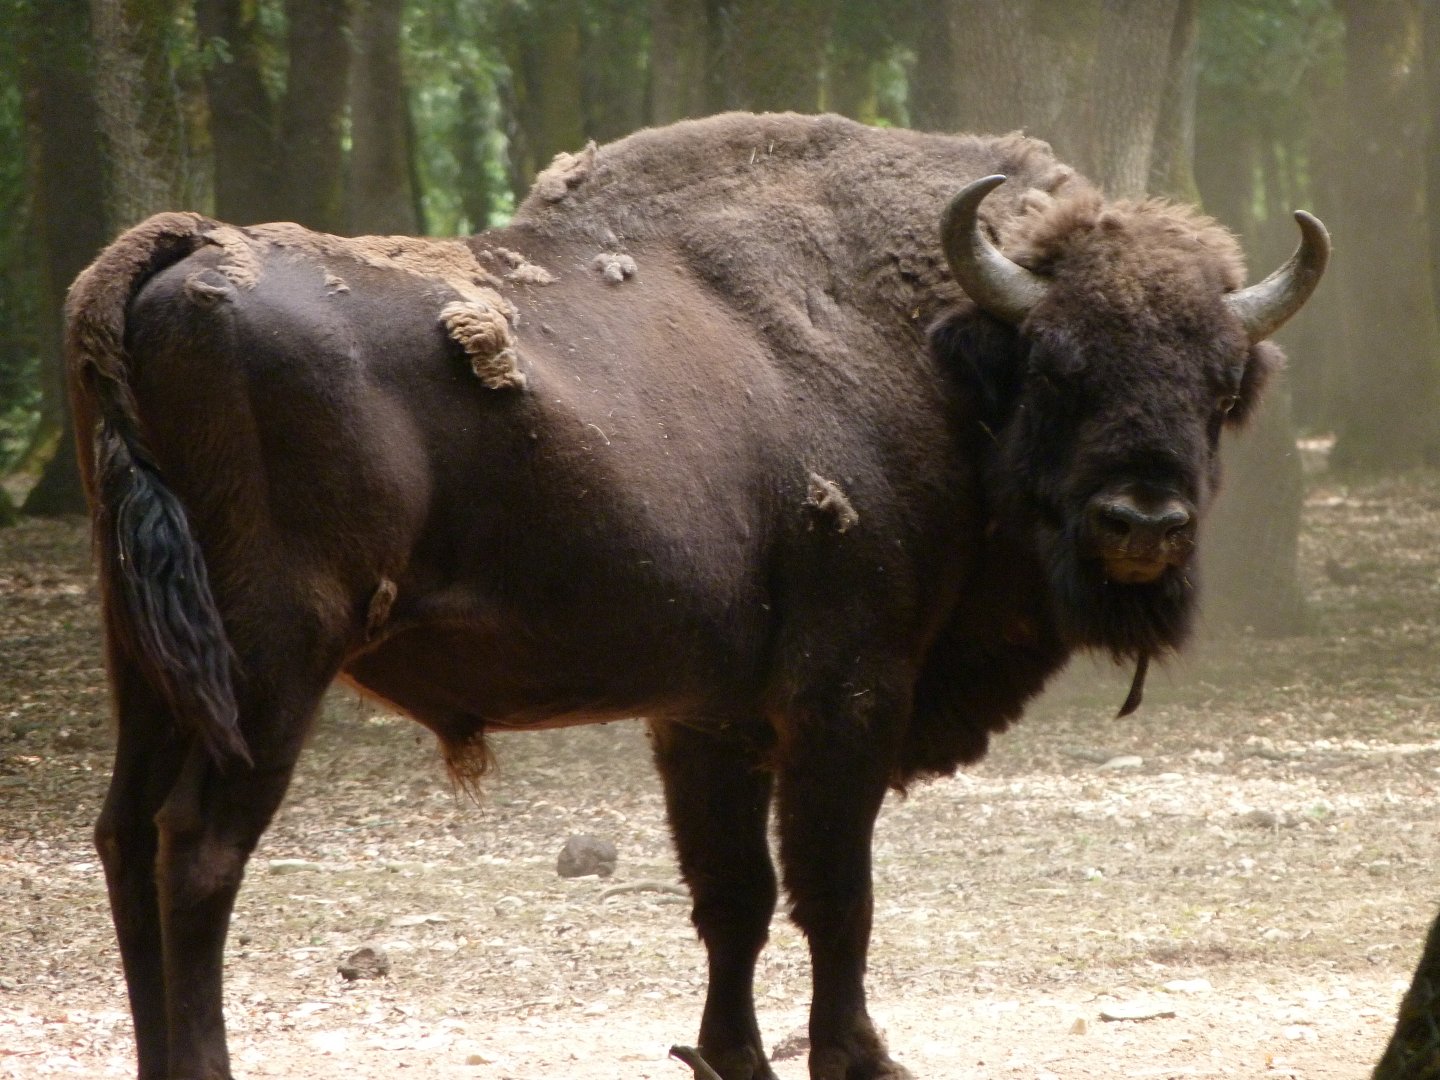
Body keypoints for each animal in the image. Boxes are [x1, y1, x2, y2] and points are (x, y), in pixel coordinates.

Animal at [66, 112, 1328, 1080]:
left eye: (1221, 384)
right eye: (1061, 366)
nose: (1143, 524)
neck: (931, 355)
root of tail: (169, 260)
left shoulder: (709, 715)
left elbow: (735, 895)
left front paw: (732, 1055)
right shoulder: (846, 695)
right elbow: (832, 891)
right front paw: (859, 1056)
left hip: (146, 652)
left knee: (124, 834)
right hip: (271, 658)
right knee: (198, 847)